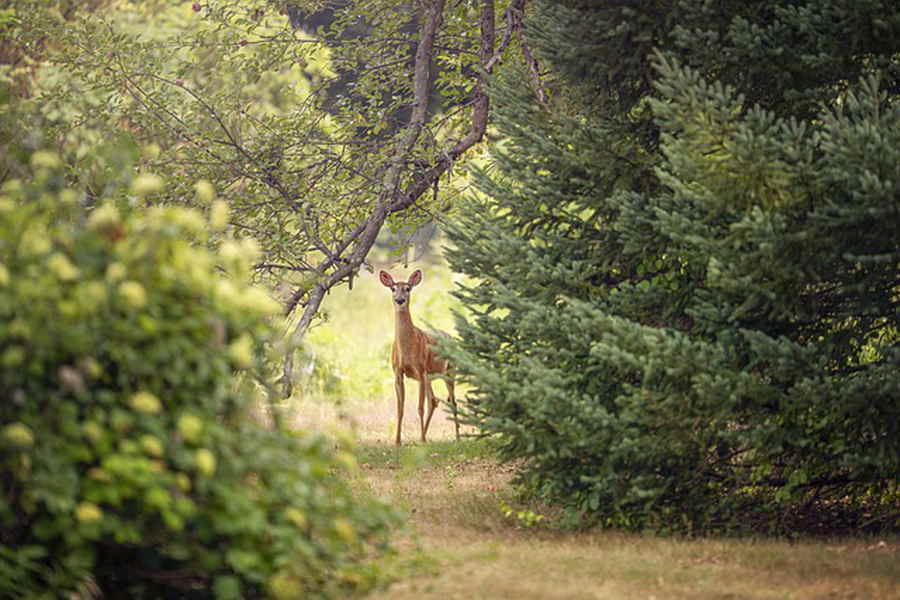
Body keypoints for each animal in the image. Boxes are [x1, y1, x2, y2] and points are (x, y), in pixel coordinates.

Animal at [380, 268, 460, 446]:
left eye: (408, 288)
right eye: (393, 288)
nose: (400, 300)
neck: (407, 349)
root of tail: (451, 337)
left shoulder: (420, 370)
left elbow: (419, 407)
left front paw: (422, 440)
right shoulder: (398, 373)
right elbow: (400, 408)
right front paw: (397, 441)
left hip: (449, 371)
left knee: (452, 401)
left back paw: (457, 437)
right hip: (431, 377)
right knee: (434, 400)